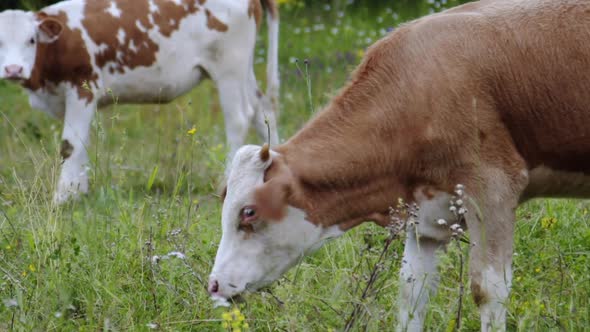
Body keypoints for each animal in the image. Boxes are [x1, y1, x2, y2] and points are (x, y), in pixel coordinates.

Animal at [0, 0, 280, 204]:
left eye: (31, 40)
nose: (13, 69)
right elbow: (83, 144)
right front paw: (79, 190)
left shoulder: (83, 88)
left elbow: (71, 144)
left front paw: (64, 196)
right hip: (244, 69)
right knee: (263, 111)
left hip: (229, 67)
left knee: (239, 118)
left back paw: (227, 182)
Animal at [210, 1, 590, 330]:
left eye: (248, 212)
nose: (213, 285)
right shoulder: (427, 216)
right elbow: (411, 293)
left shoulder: (493, 187)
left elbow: (489, 290)